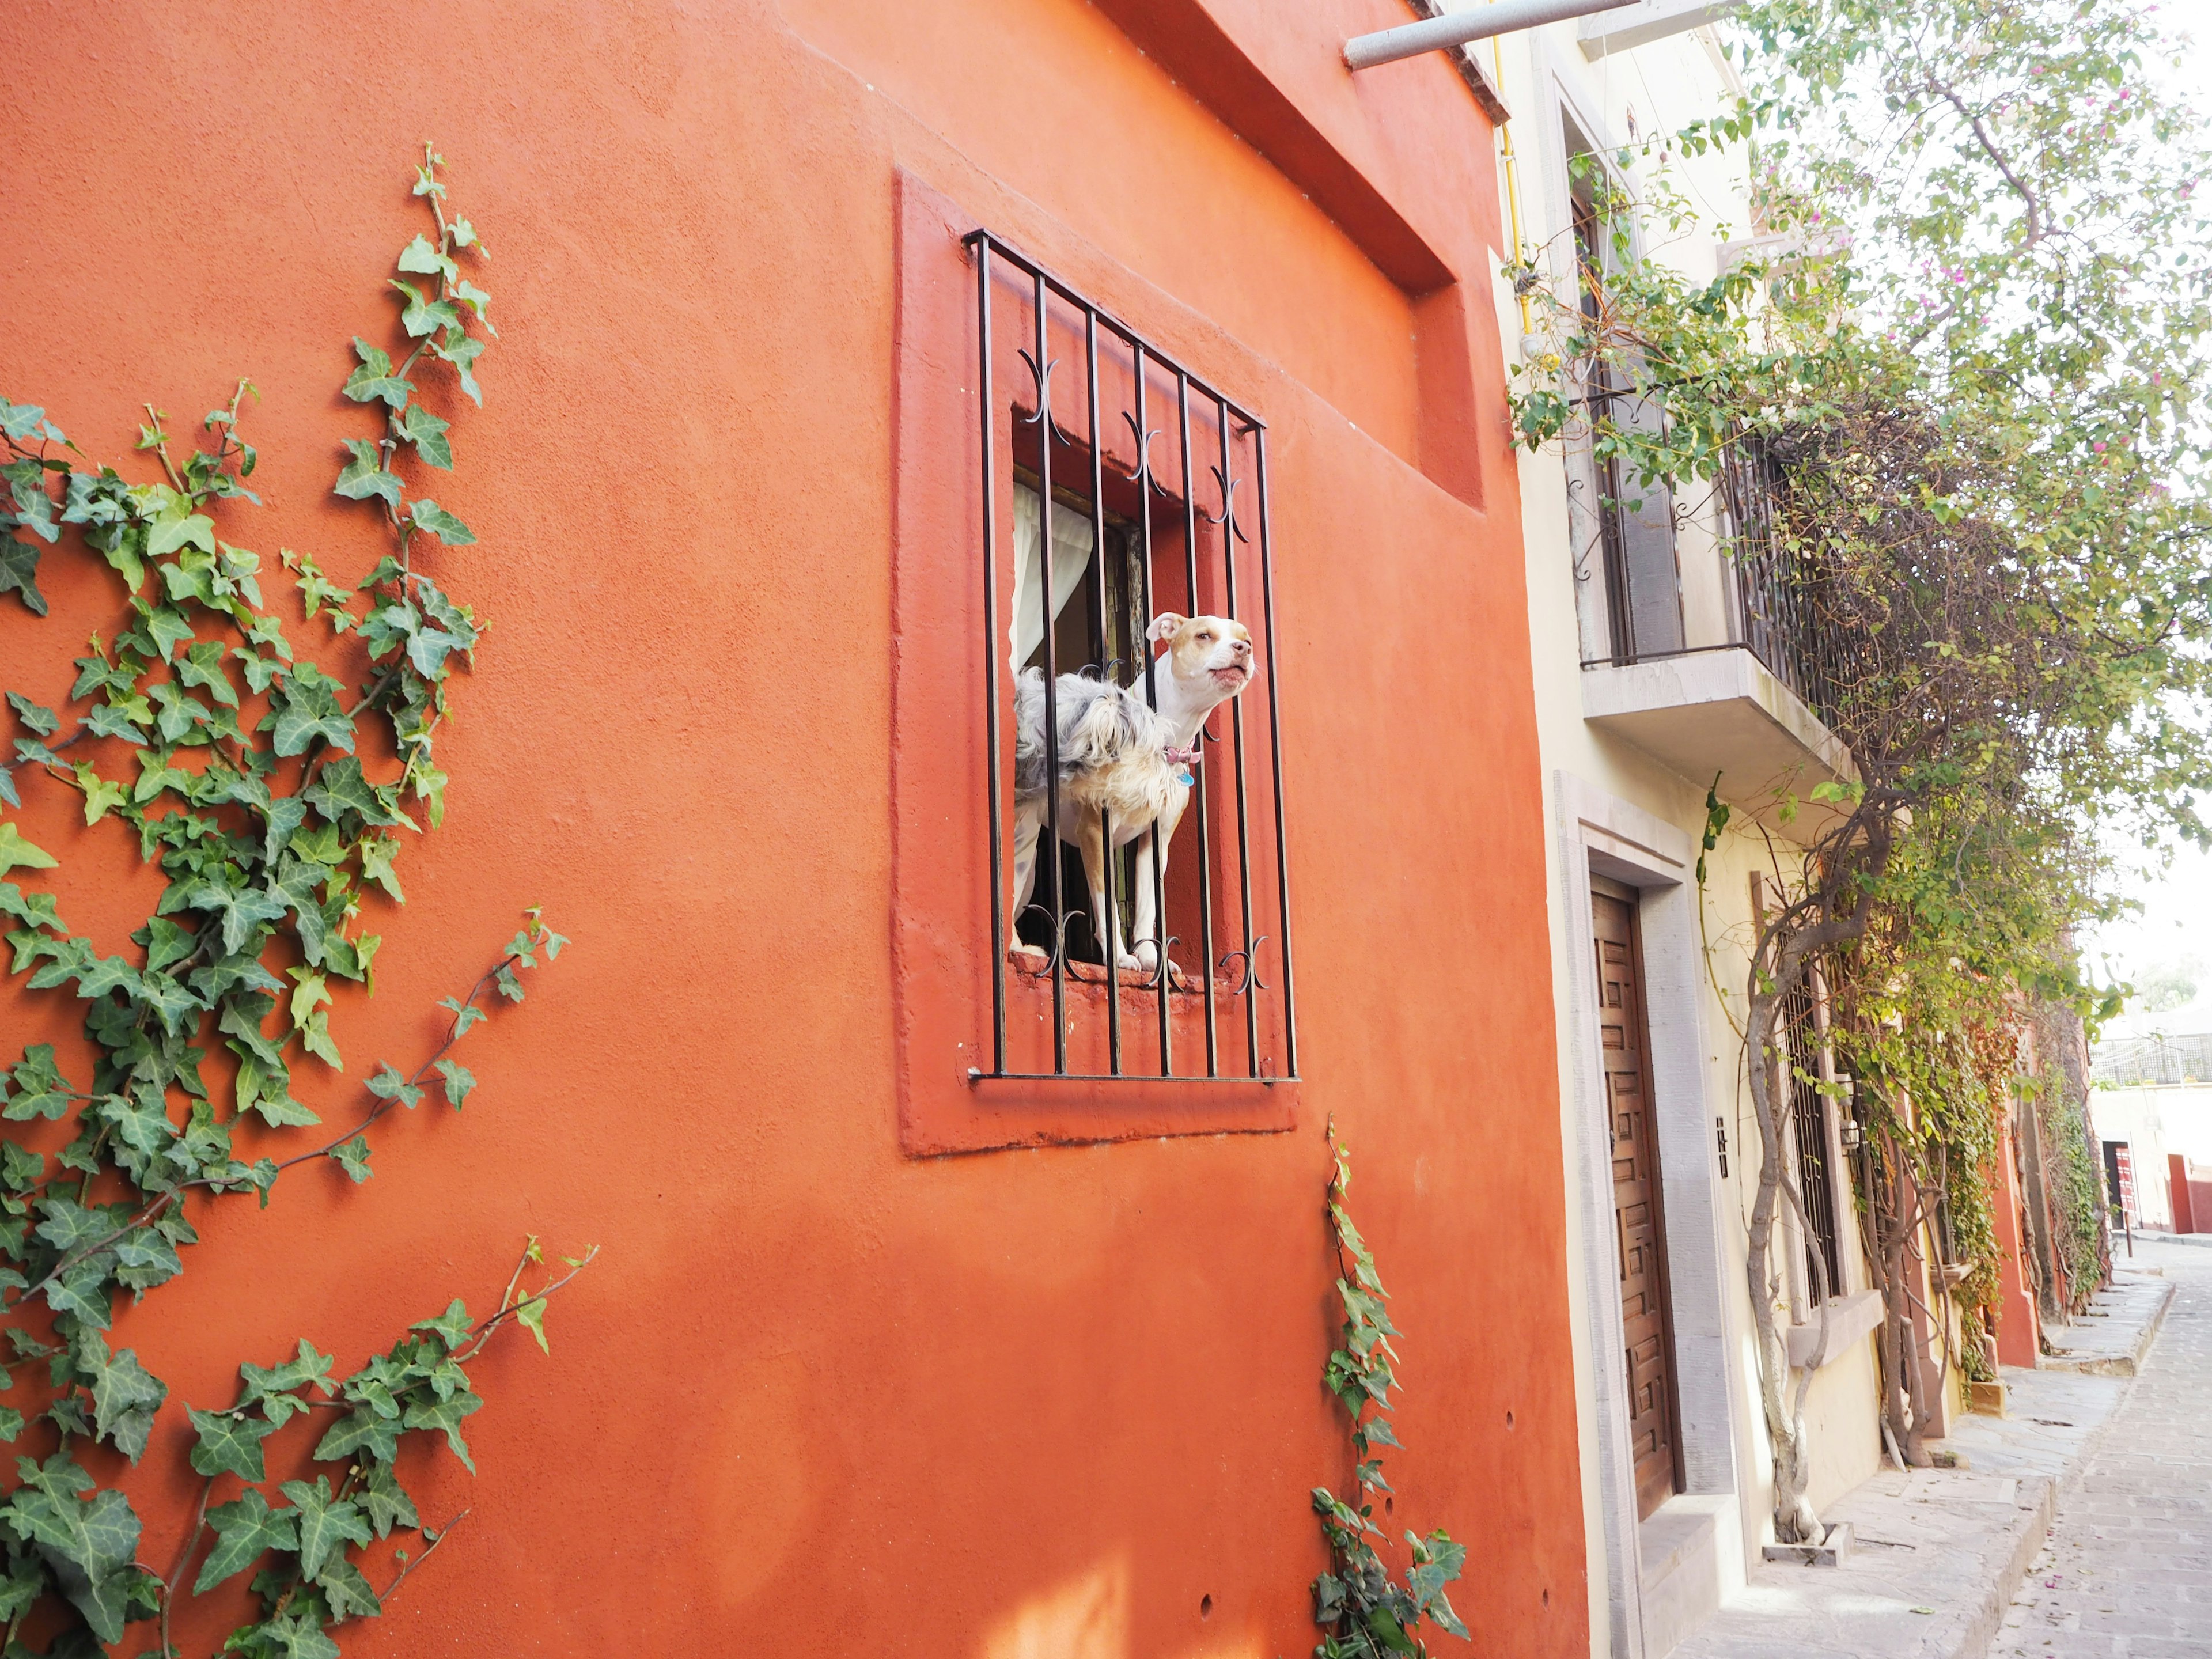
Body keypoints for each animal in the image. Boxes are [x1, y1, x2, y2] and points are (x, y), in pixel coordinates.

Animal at [1013, 610, 1256, 973]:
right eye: (1204, 636)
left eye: (1247, 639)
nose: (1244, 649)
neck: (1166, 737)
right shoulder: (1095, 832)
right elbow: (1107, 907)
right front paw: (1119, 958)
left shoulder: (1156, 843)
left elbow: (1147, 908)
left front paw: (1152, 959)